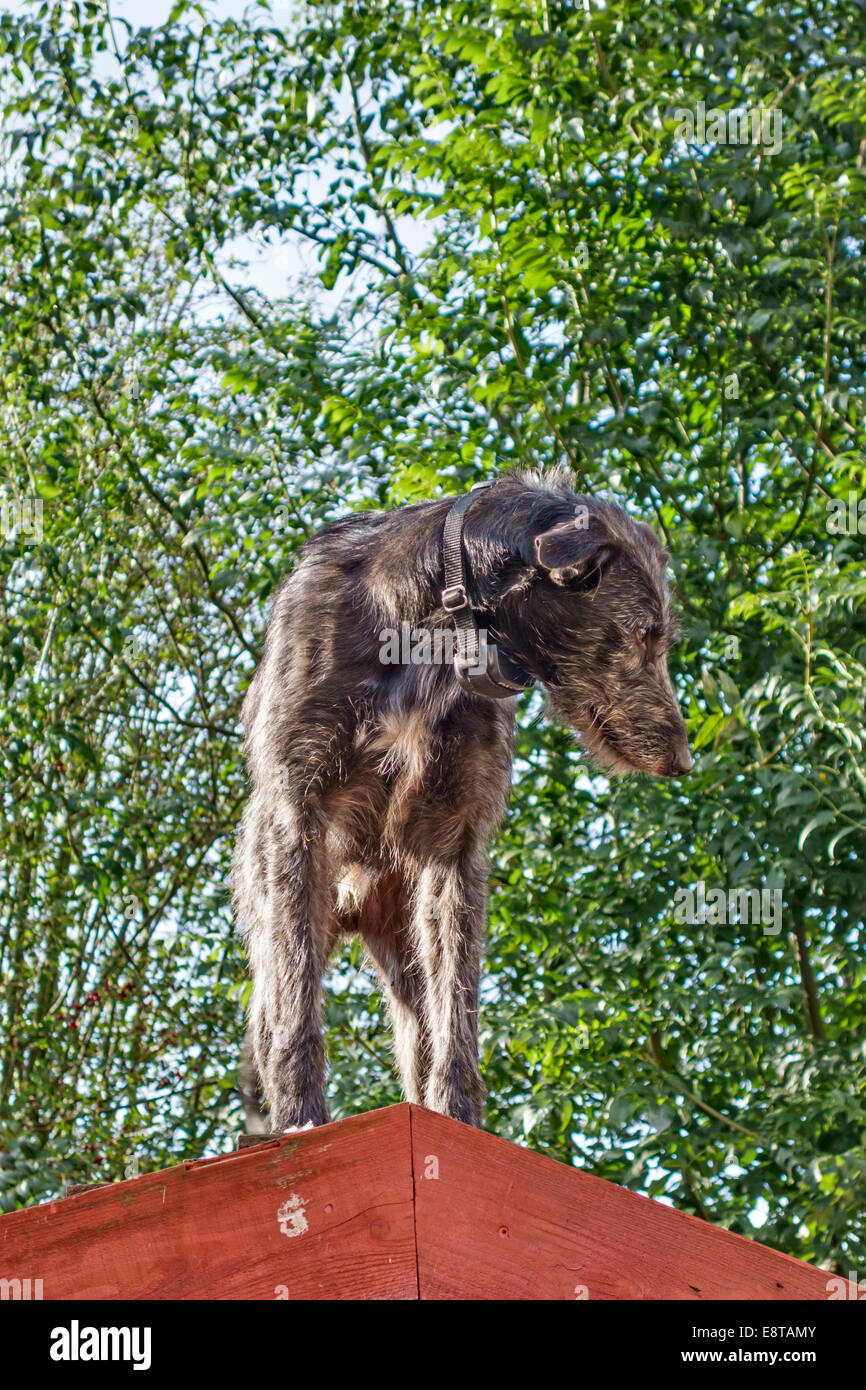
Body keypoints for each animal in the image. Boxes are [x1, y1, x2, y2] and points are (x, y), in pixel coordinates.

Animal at [233, 467, 695, 1128]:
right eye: (642, 634)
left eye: (661, 636)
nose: (683, 760)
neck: (429, 627)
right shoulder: (300, 813)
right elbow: (296, 999)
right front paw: (301, 1114)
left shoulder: (451, 839)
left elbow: (456, 1000)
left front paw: (457, 1117)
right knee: (275, 999)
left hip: (403, 943)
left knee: (421, 1019)